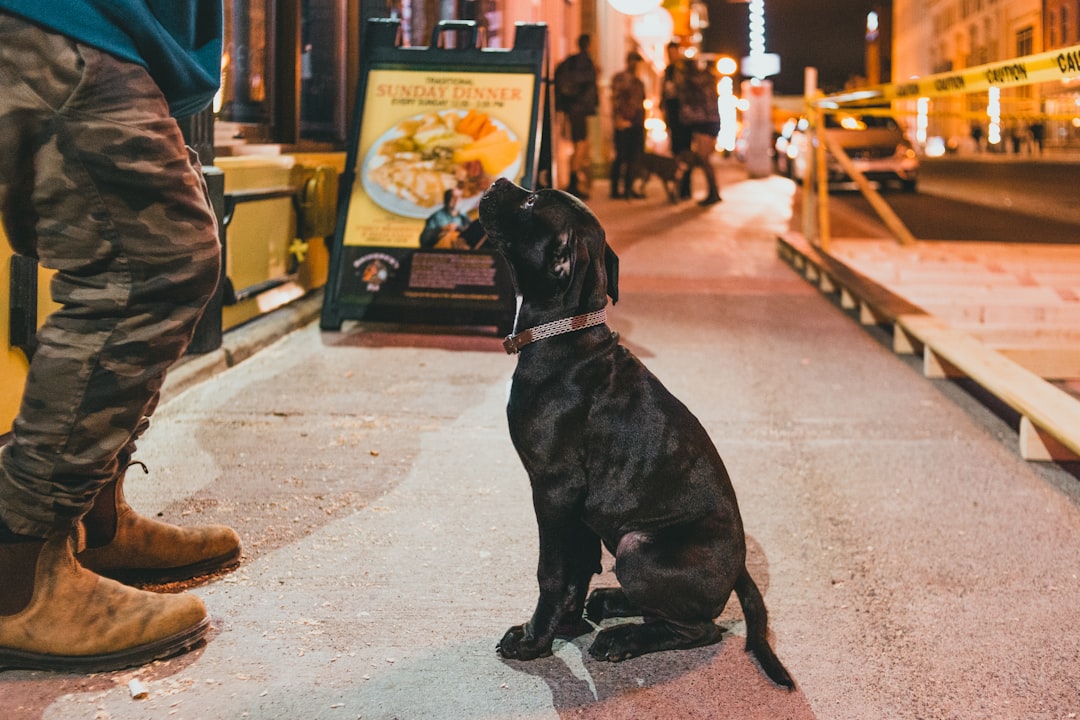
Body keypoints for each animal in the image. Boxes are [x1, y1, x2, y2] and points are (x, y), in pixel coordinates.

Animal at [479, 177, 794, 690]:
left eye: (530, 201)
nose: (497, 182)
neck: (562, 335)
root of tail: (741, 571)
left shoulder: (554, 489)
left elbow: (552, 570)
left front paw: (534, 641)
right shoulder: (577, 506)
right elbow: (577, 566)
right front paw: (566, 625)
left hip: (636, 547)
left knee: (699, 629)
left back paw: (623, 639)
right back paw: (610, 603)